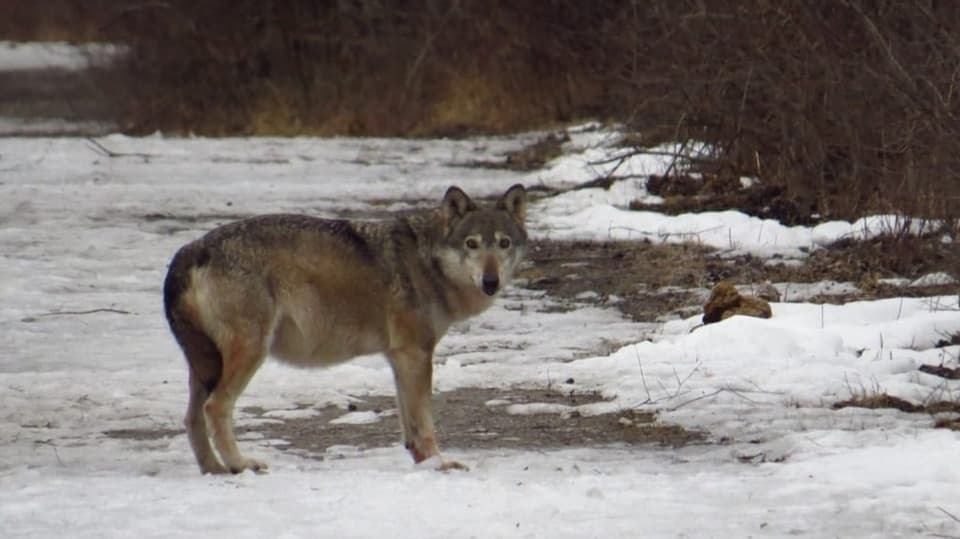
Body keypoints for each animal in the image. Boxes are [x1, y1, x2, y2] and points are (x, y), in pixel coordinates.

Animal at [163, 185, 524, 472]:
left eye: (504, 243)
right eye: (472, 244)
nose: (490, 282)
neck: (428, 263)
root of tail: (192, 248)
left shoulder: (400, 358)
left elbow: (410, 427)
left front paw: (424, 463)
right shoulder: (415, 353)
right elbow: (424, 423)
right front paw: (440, 464)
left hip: (206, 365)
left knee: (192, 418)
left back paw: (214, 469)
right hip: (250, 353)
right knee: (215, 408)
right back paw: (240, 464)